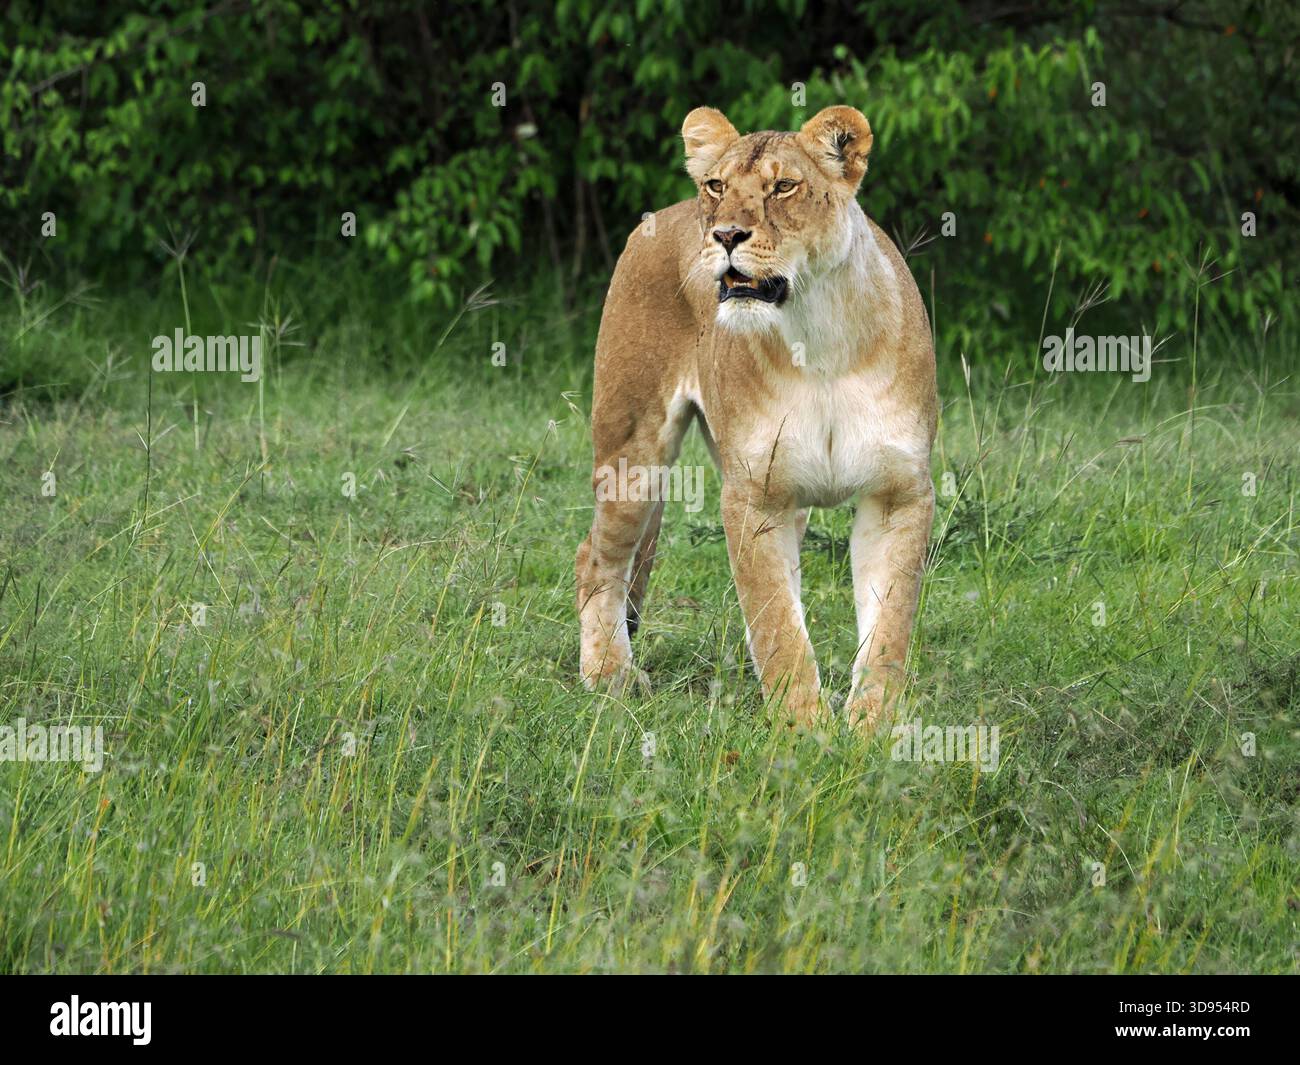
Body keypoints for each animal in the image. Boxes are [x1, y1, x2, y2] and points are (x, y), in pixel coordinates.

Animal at [576, 105, 937, 732]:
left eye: (784, 187)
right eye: (717, 187)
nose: (724, 235)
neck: (818, 335)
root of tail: (658, 217)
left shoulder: (898, 494)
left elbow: (888, 629)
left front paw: (872, 731)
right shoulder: (753, 497)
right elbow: (777, 626)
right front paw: (804, 730)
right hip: (632, 452)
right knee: (597, 559)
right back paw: (608, 676)